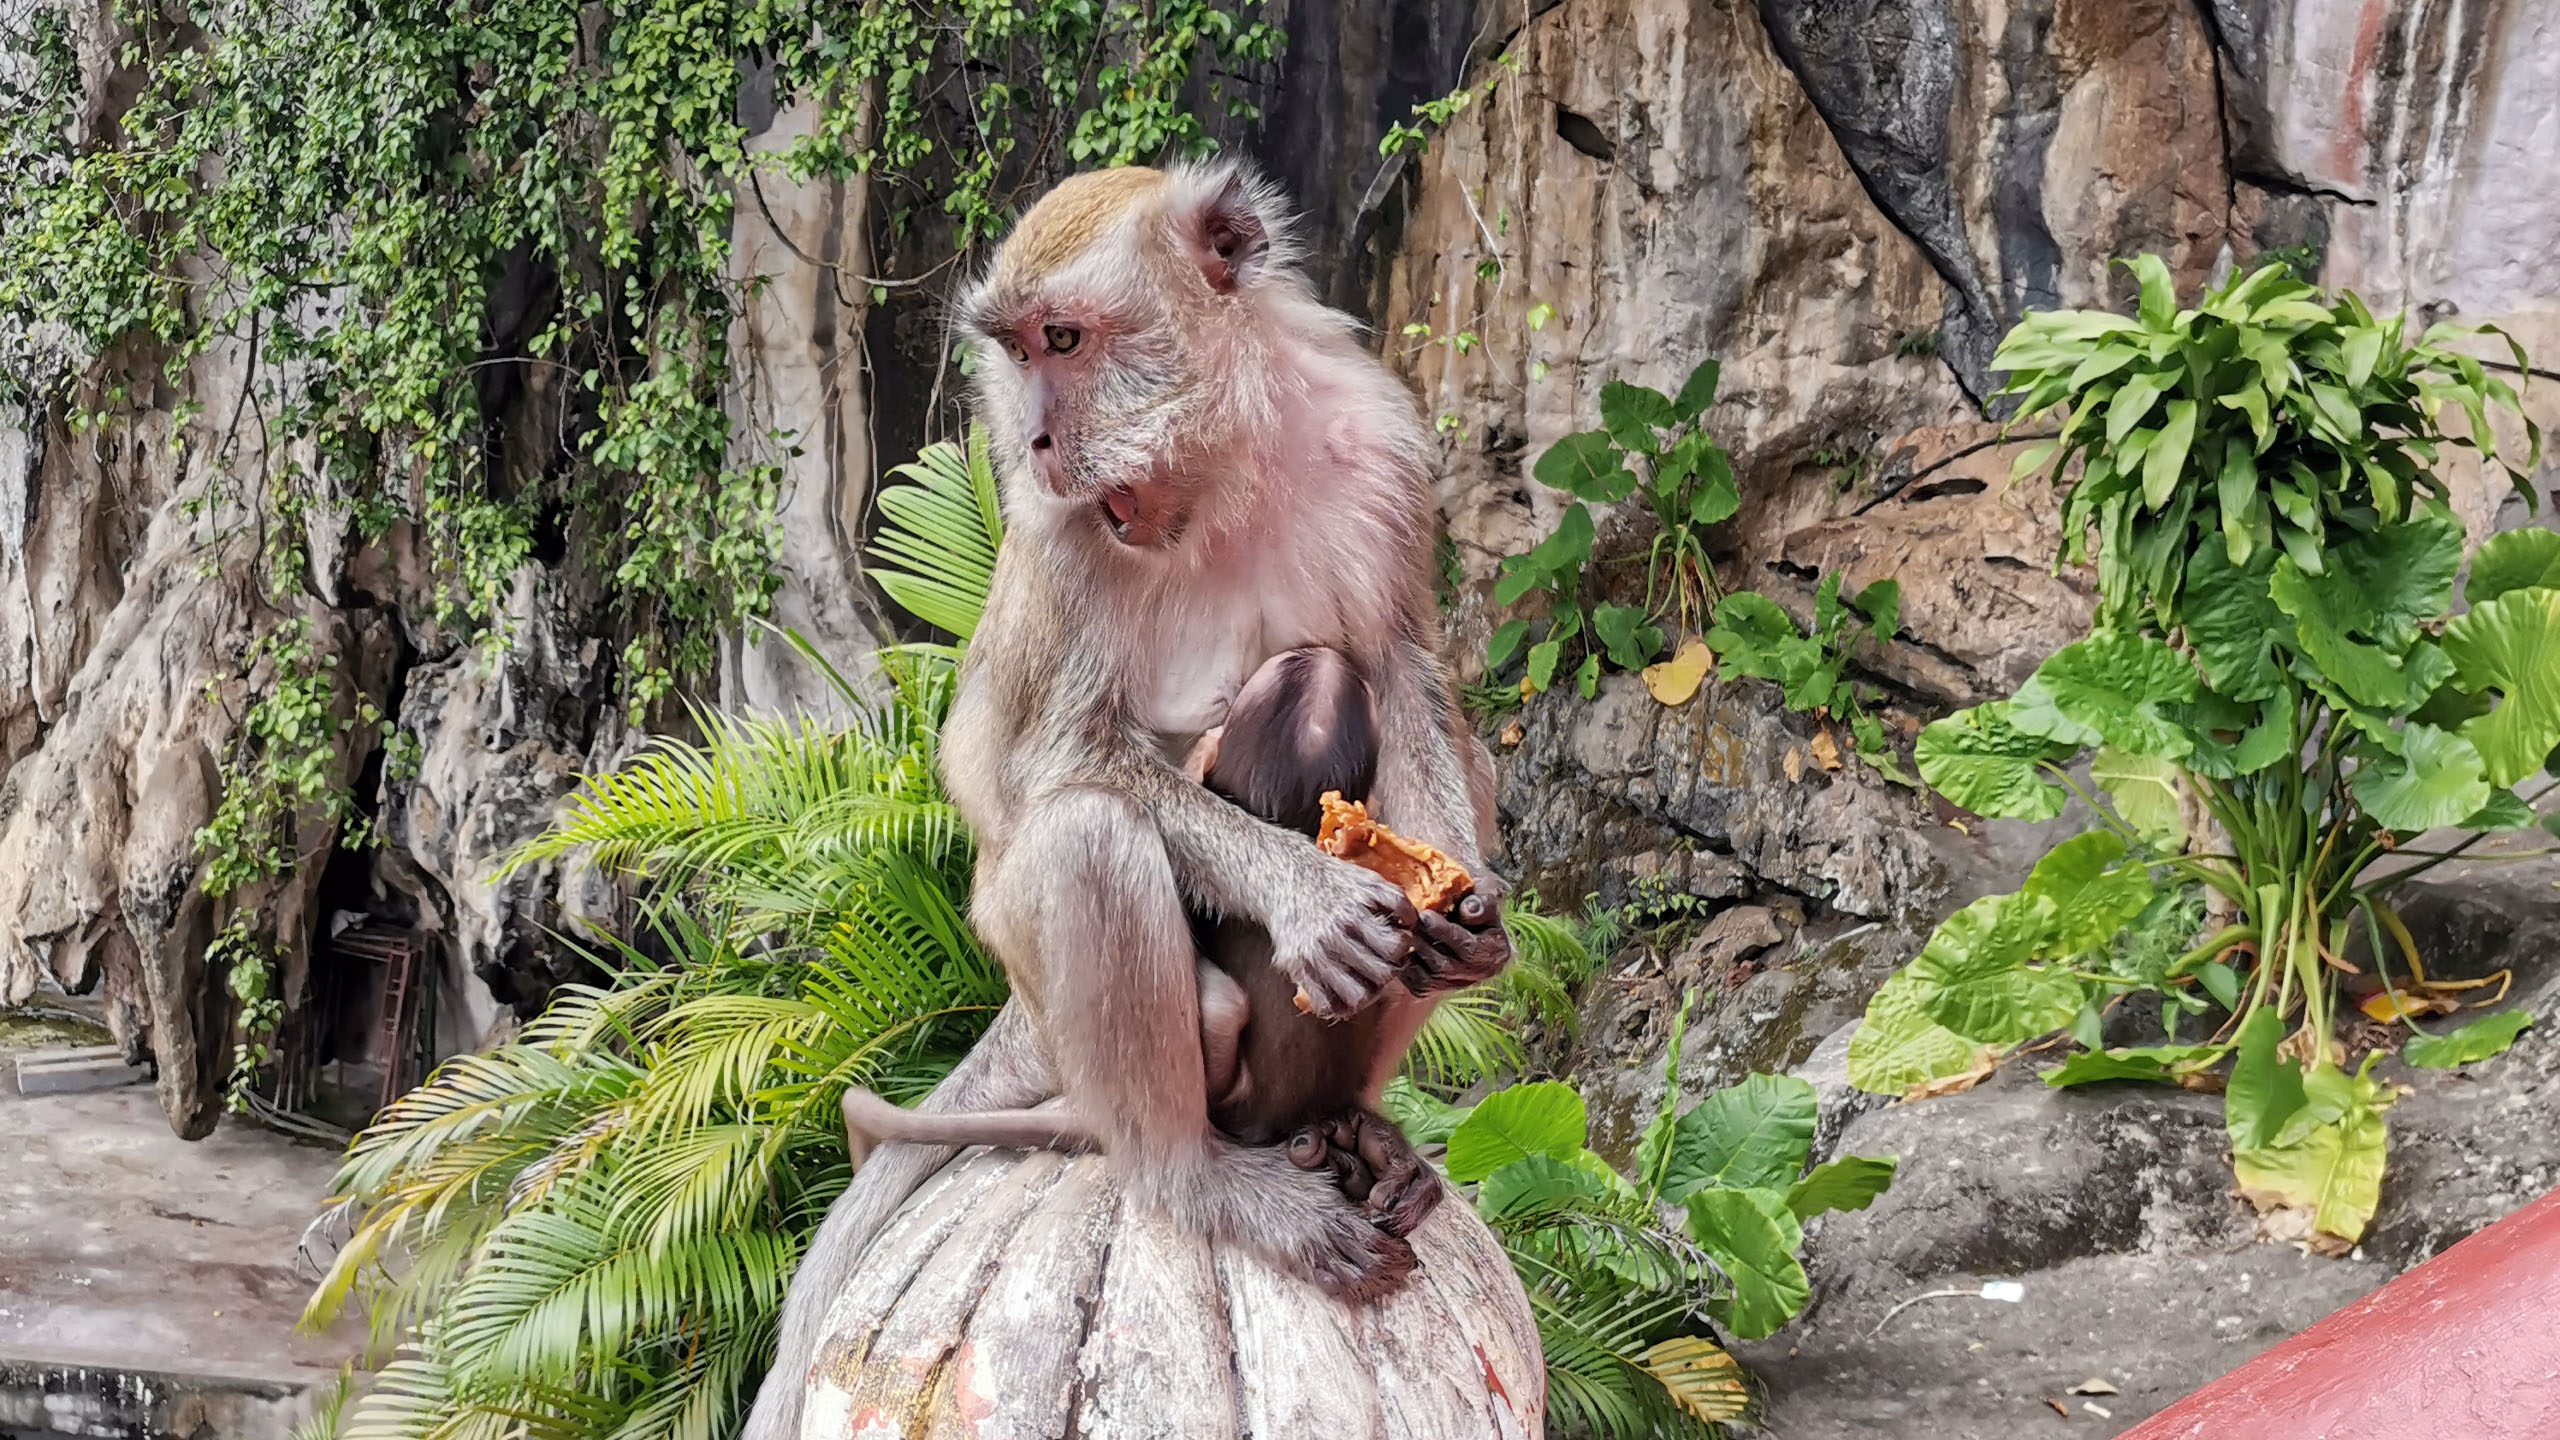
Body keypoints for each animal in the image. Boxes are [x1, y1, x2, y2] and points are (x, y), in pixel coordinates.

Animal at [743, 161, 1509, 1440]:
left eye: (1065, 339)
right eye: (1019, 352)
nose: (1038, 437)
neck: (1226, 471)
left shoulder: (1384, 448)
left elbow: (1404, 671)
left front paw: (1460, 909)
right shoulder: (1058, 534)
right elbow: (1062, 761)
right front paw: (1308, 894)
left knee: (1399, 724)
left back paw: (1360, 1122)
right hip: (1040, 974)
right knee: (1090, 840)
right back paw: (1193, 1175)